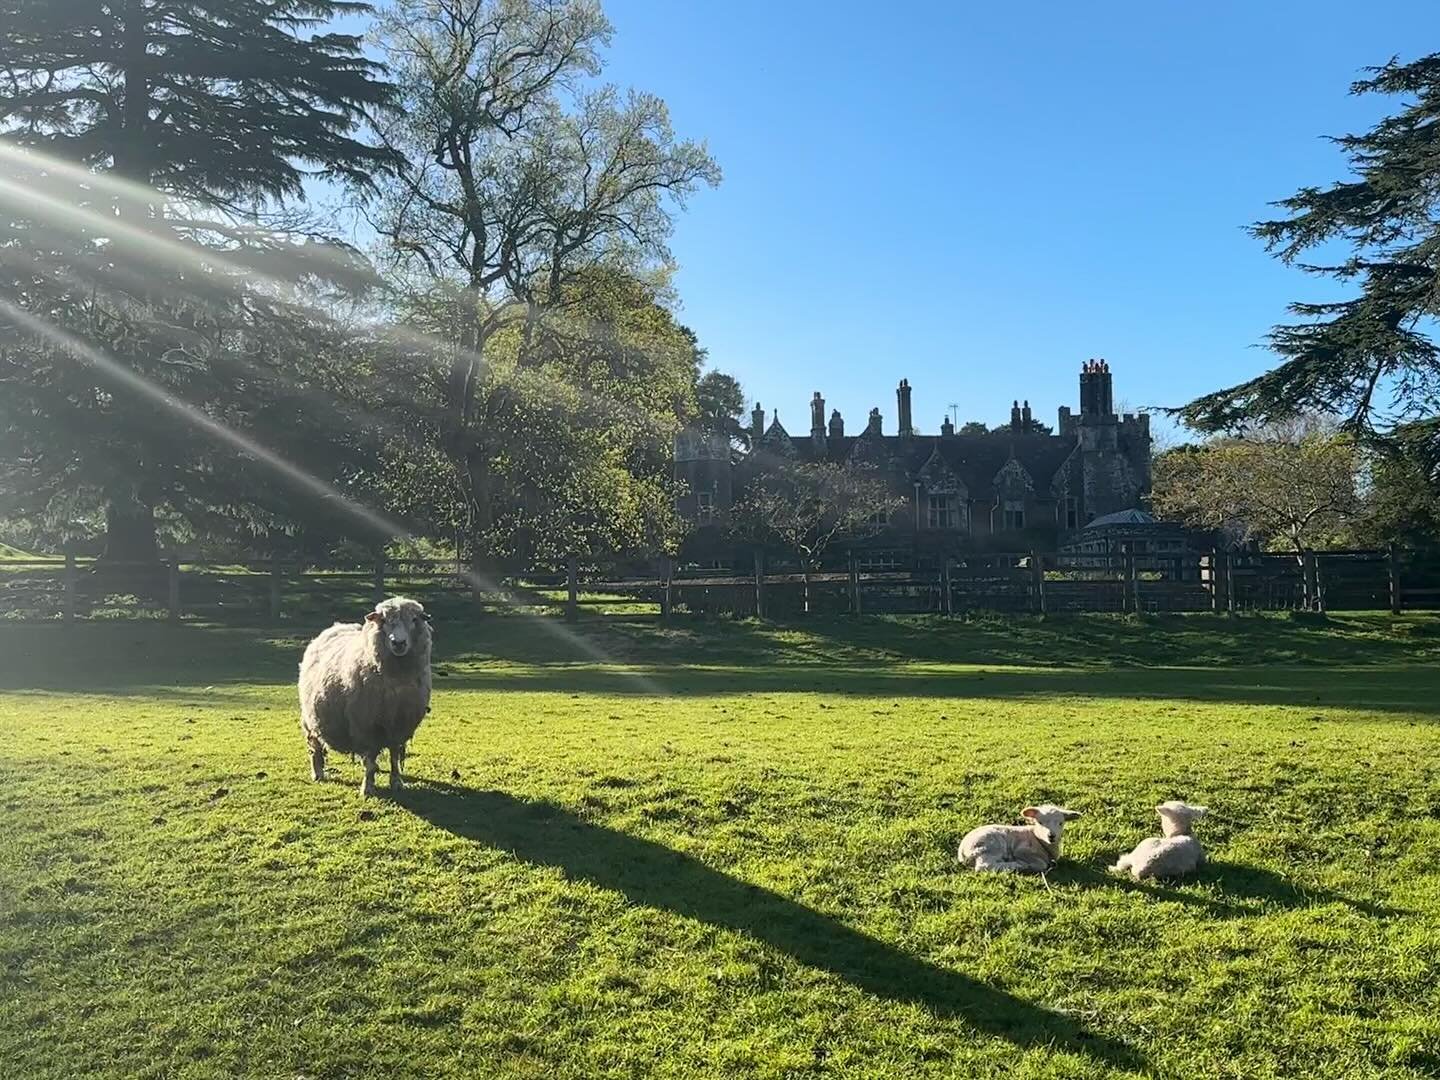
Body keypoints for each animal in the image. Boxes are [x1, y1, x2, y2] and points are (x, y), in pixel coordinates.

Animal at [298, 596, 432, 800]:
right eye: (383, 621)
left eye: (414, 620)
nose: (398, 643)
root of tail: (336, 626)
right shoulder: (366, 726)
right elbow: (369, 760)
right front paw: (367, 788)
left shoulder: (398, 726)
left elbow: (394, 756)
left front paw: (396, 782)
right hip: (310, 718)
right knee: (315, 747)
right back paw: (318, 773)